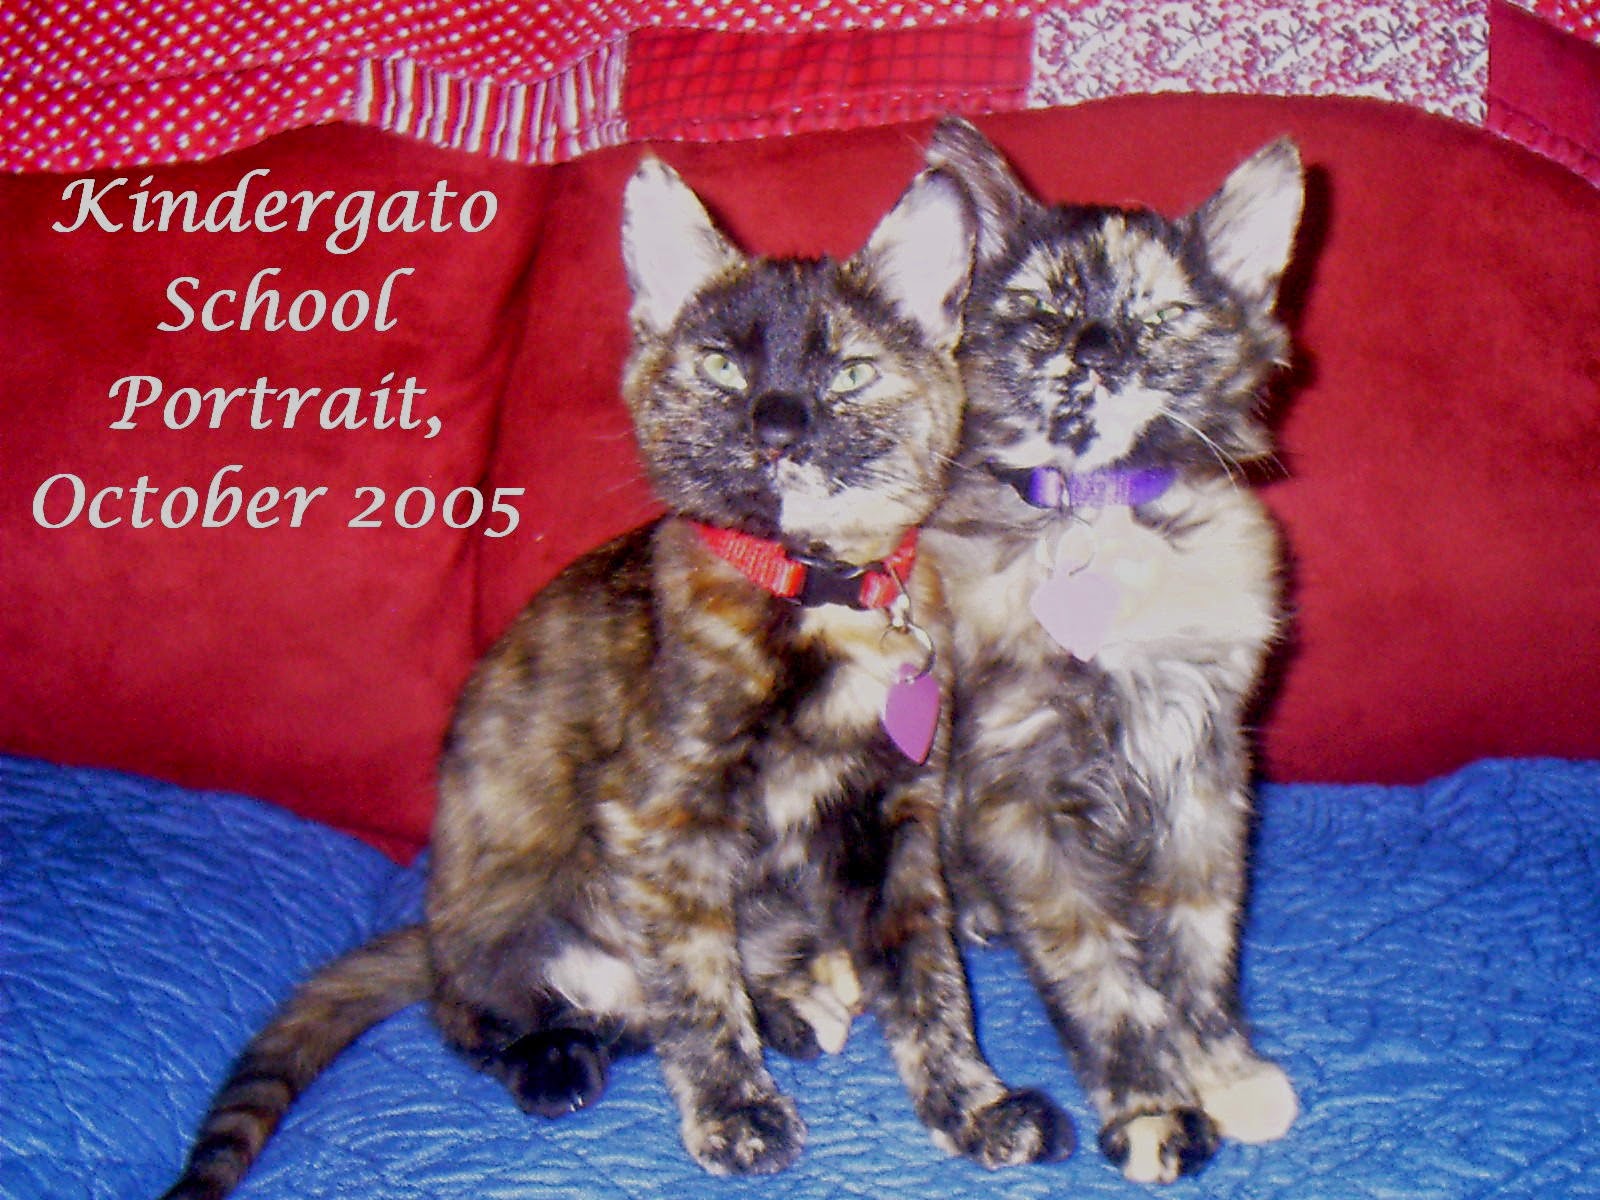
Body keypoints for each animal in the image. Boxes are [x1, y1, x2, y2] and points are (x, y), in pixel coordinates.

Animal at [158, 155, 1072, 1200]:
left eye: (849, 371)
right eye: (721, 366)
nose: (777, 425)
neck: (813, 591)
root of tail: (431, 928)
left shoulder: (889, 823)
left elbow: (928, 977)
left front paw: (975, 1105)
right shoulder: (659, 818)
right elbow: (695, 984)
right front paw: (734, 1112)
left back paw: (788, 1010)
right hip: (509, 917)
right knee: (486, 1012)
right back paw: (556, 1057)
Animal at [920, 118, 1304, 1184]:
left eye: (1161, 315)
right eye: (1043, 311)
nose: (1097, 348)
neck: (1099, 525)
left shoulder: (1202, 771)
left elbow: (1197, 945)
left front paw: (1223, 1066)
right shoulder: (1018, 796)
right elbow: (1102, 977)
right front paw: (1152, 1105)